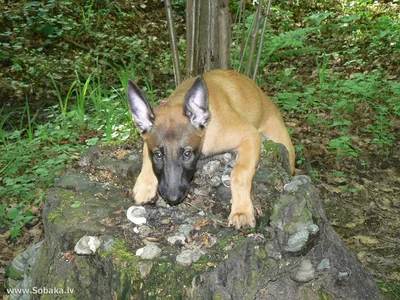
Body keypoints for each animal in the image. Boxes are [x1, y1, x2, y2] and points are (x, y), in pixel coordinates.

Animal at [126, 68, 296, 227]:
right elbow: (146, 155)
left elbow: (240, 172)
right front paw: (144, 185)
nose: (172, 198)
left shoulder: (250, 135)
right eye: (158, 155)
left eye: (187, 154)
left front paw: (241, 211)